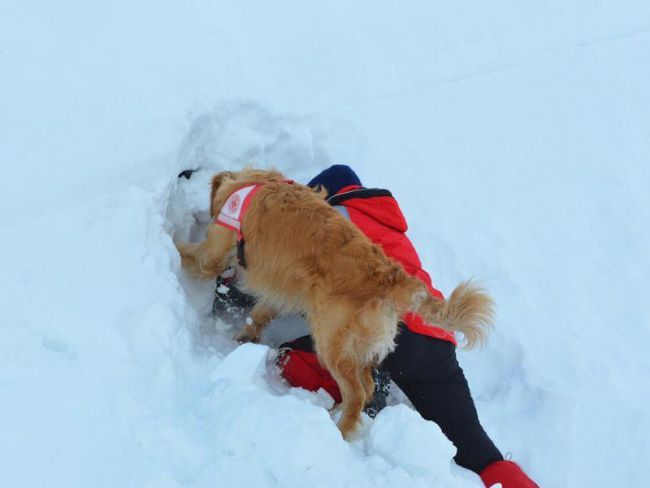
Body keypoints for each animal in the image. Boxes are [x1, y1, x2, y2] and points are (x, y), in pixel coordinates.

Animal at [175, 169, 494, 438]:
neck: (254, 183)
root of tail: (391, 278)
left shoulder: (217, 247)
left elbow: (193, 255)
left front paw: (172, 241)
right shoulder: (278, 293)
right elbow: (261, 313)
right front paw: (244, 336)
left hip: (331, 343)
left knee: (356, 393)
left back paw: (340, 430)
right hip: (359, 347)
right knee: (368, 386)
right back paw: (337, 412)